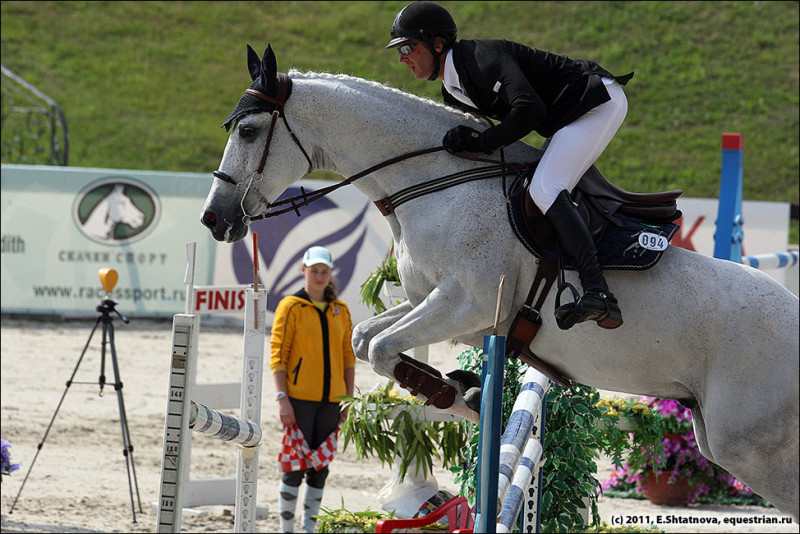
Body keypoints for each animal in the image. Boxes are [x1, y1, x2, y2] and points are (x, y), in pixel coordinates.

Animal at [202, 46, 800, 524]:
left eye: (249, 131)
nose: (214, 219)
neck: (437, 181)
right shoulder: (430, 303)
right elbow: (367, 340)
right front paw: (463, 391)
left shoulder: (466, 304)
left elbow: (382, 346)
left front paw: (457, 392)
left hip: (751, 448)